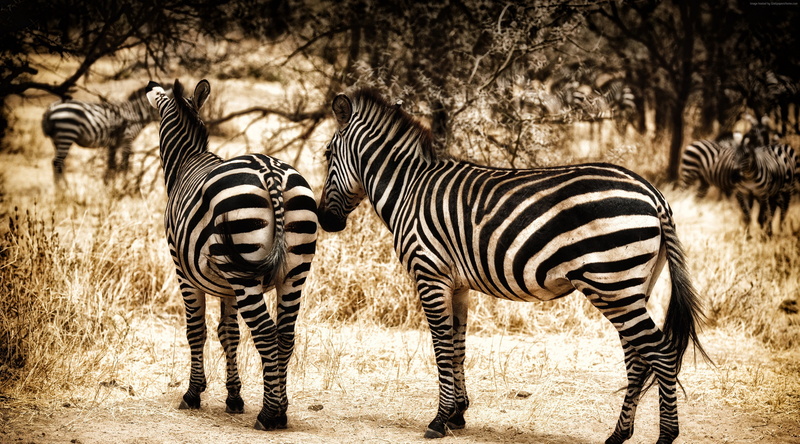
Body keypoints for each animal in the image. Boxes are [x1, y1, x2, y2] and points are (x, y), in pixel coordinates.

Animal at [145, 79, 318, 430]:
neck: (186, 161)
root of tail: (270, 172)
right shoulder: (227, 287)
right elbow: (229, 334)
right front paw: (234, 397)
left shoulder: (182, 271)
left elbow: (196, 331)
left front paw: (193, 393)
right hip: (294, 270)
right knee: (285, 335)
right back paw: (282, 409)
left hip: (244, 272)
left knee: (265, 332)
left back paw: (269, 414)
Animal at [317, 88, 709, 443]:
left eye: (326, 155)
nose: (325, 220)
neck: (409, 189)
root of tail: (653, 194)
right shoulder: (458, 284)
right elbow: (458, 347)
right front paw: (458, 414)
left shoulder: (430, 274)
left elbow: (441, 346)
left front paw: (439, 419)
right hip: (631, 286)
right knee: (639, 357)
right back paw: (618, 434)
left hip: (612, 283)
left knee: (660, 352)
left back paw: (665, 435)